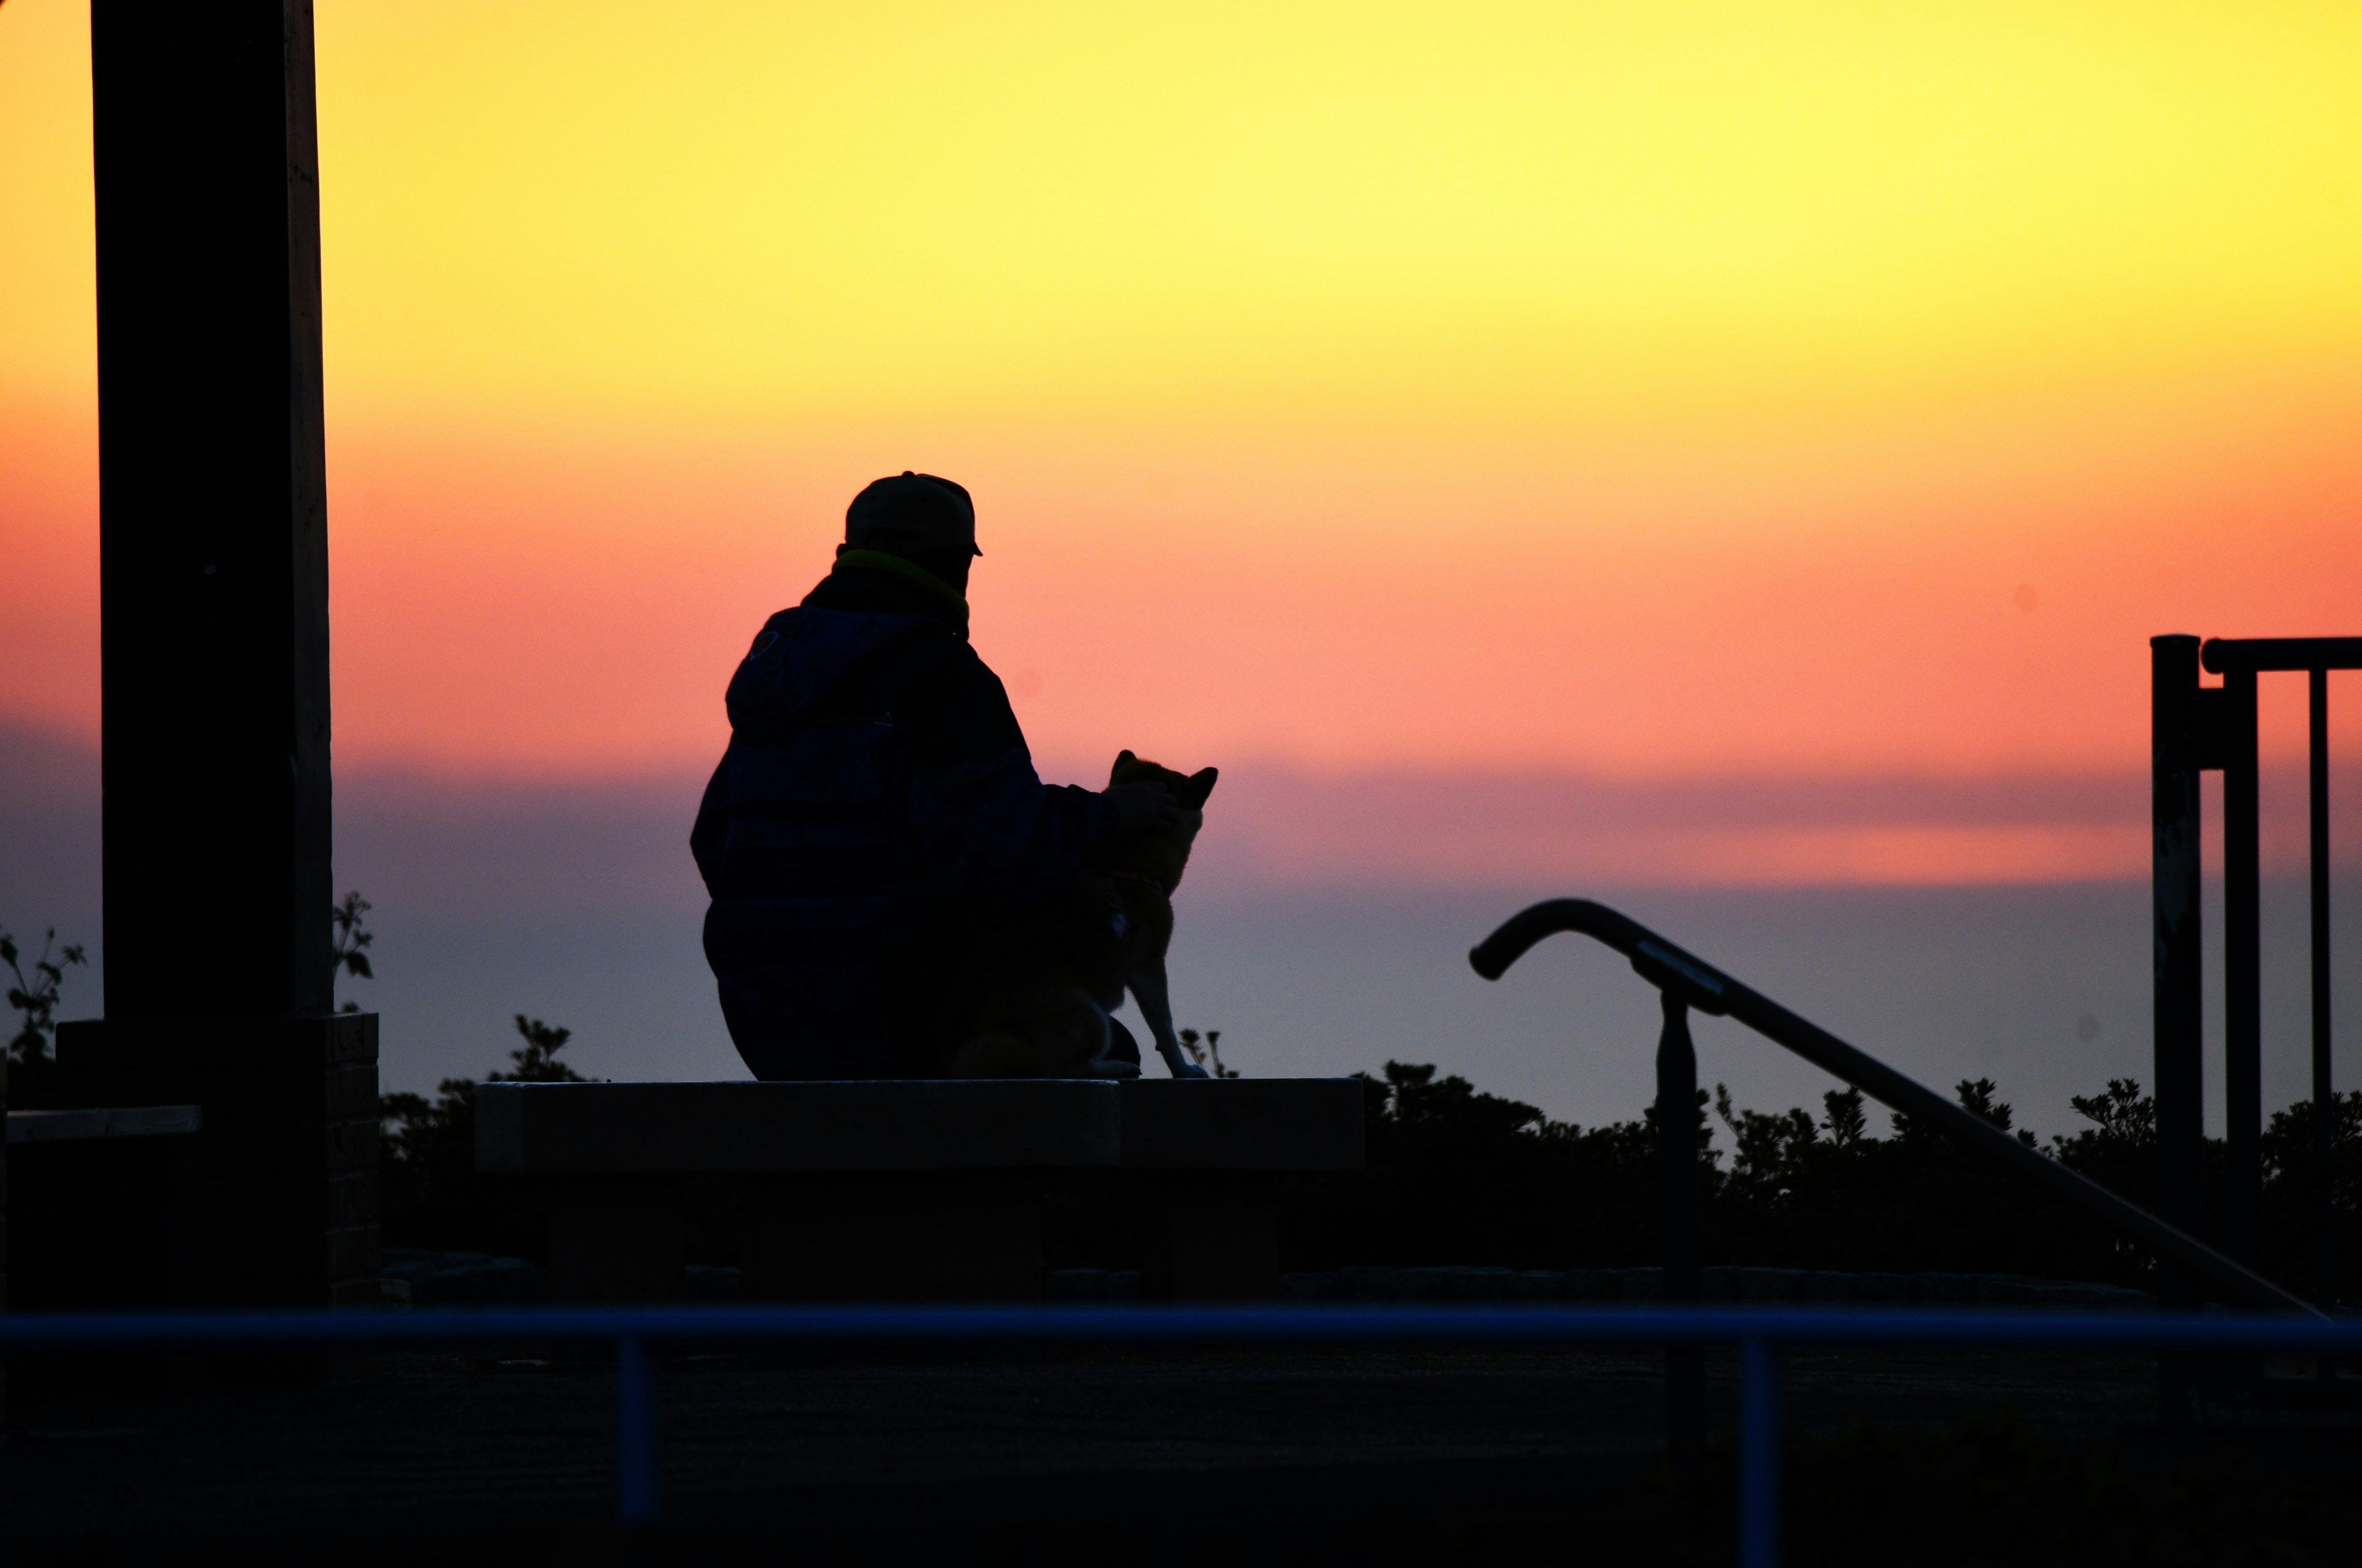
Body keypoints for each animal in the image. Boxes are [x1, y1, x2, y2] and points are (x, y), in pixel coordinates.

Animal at [935, 750, 1219, 1077]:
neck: (1123, 864)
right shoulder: (1148, 967)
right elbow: (1166, 1030)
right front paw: (1183, 1069)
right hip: (1090, 1013)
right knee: (1063, 1069)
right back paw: (1114, 1068)